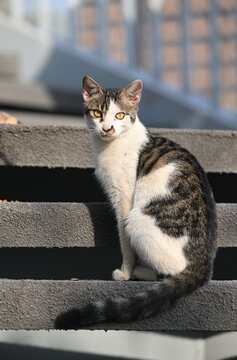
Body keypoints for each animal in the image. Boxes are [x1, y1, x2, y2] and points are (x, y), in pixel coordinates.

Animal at [55, 76, 217, 330]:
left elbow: (125, 244)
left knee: (169, 272)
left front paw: (125, 272)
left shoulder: (123, 198)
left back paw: (141, 271)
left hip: (137, 220)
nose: (107, 128)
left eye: (120, 115)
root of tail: (204, 261)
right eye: (98, 113)